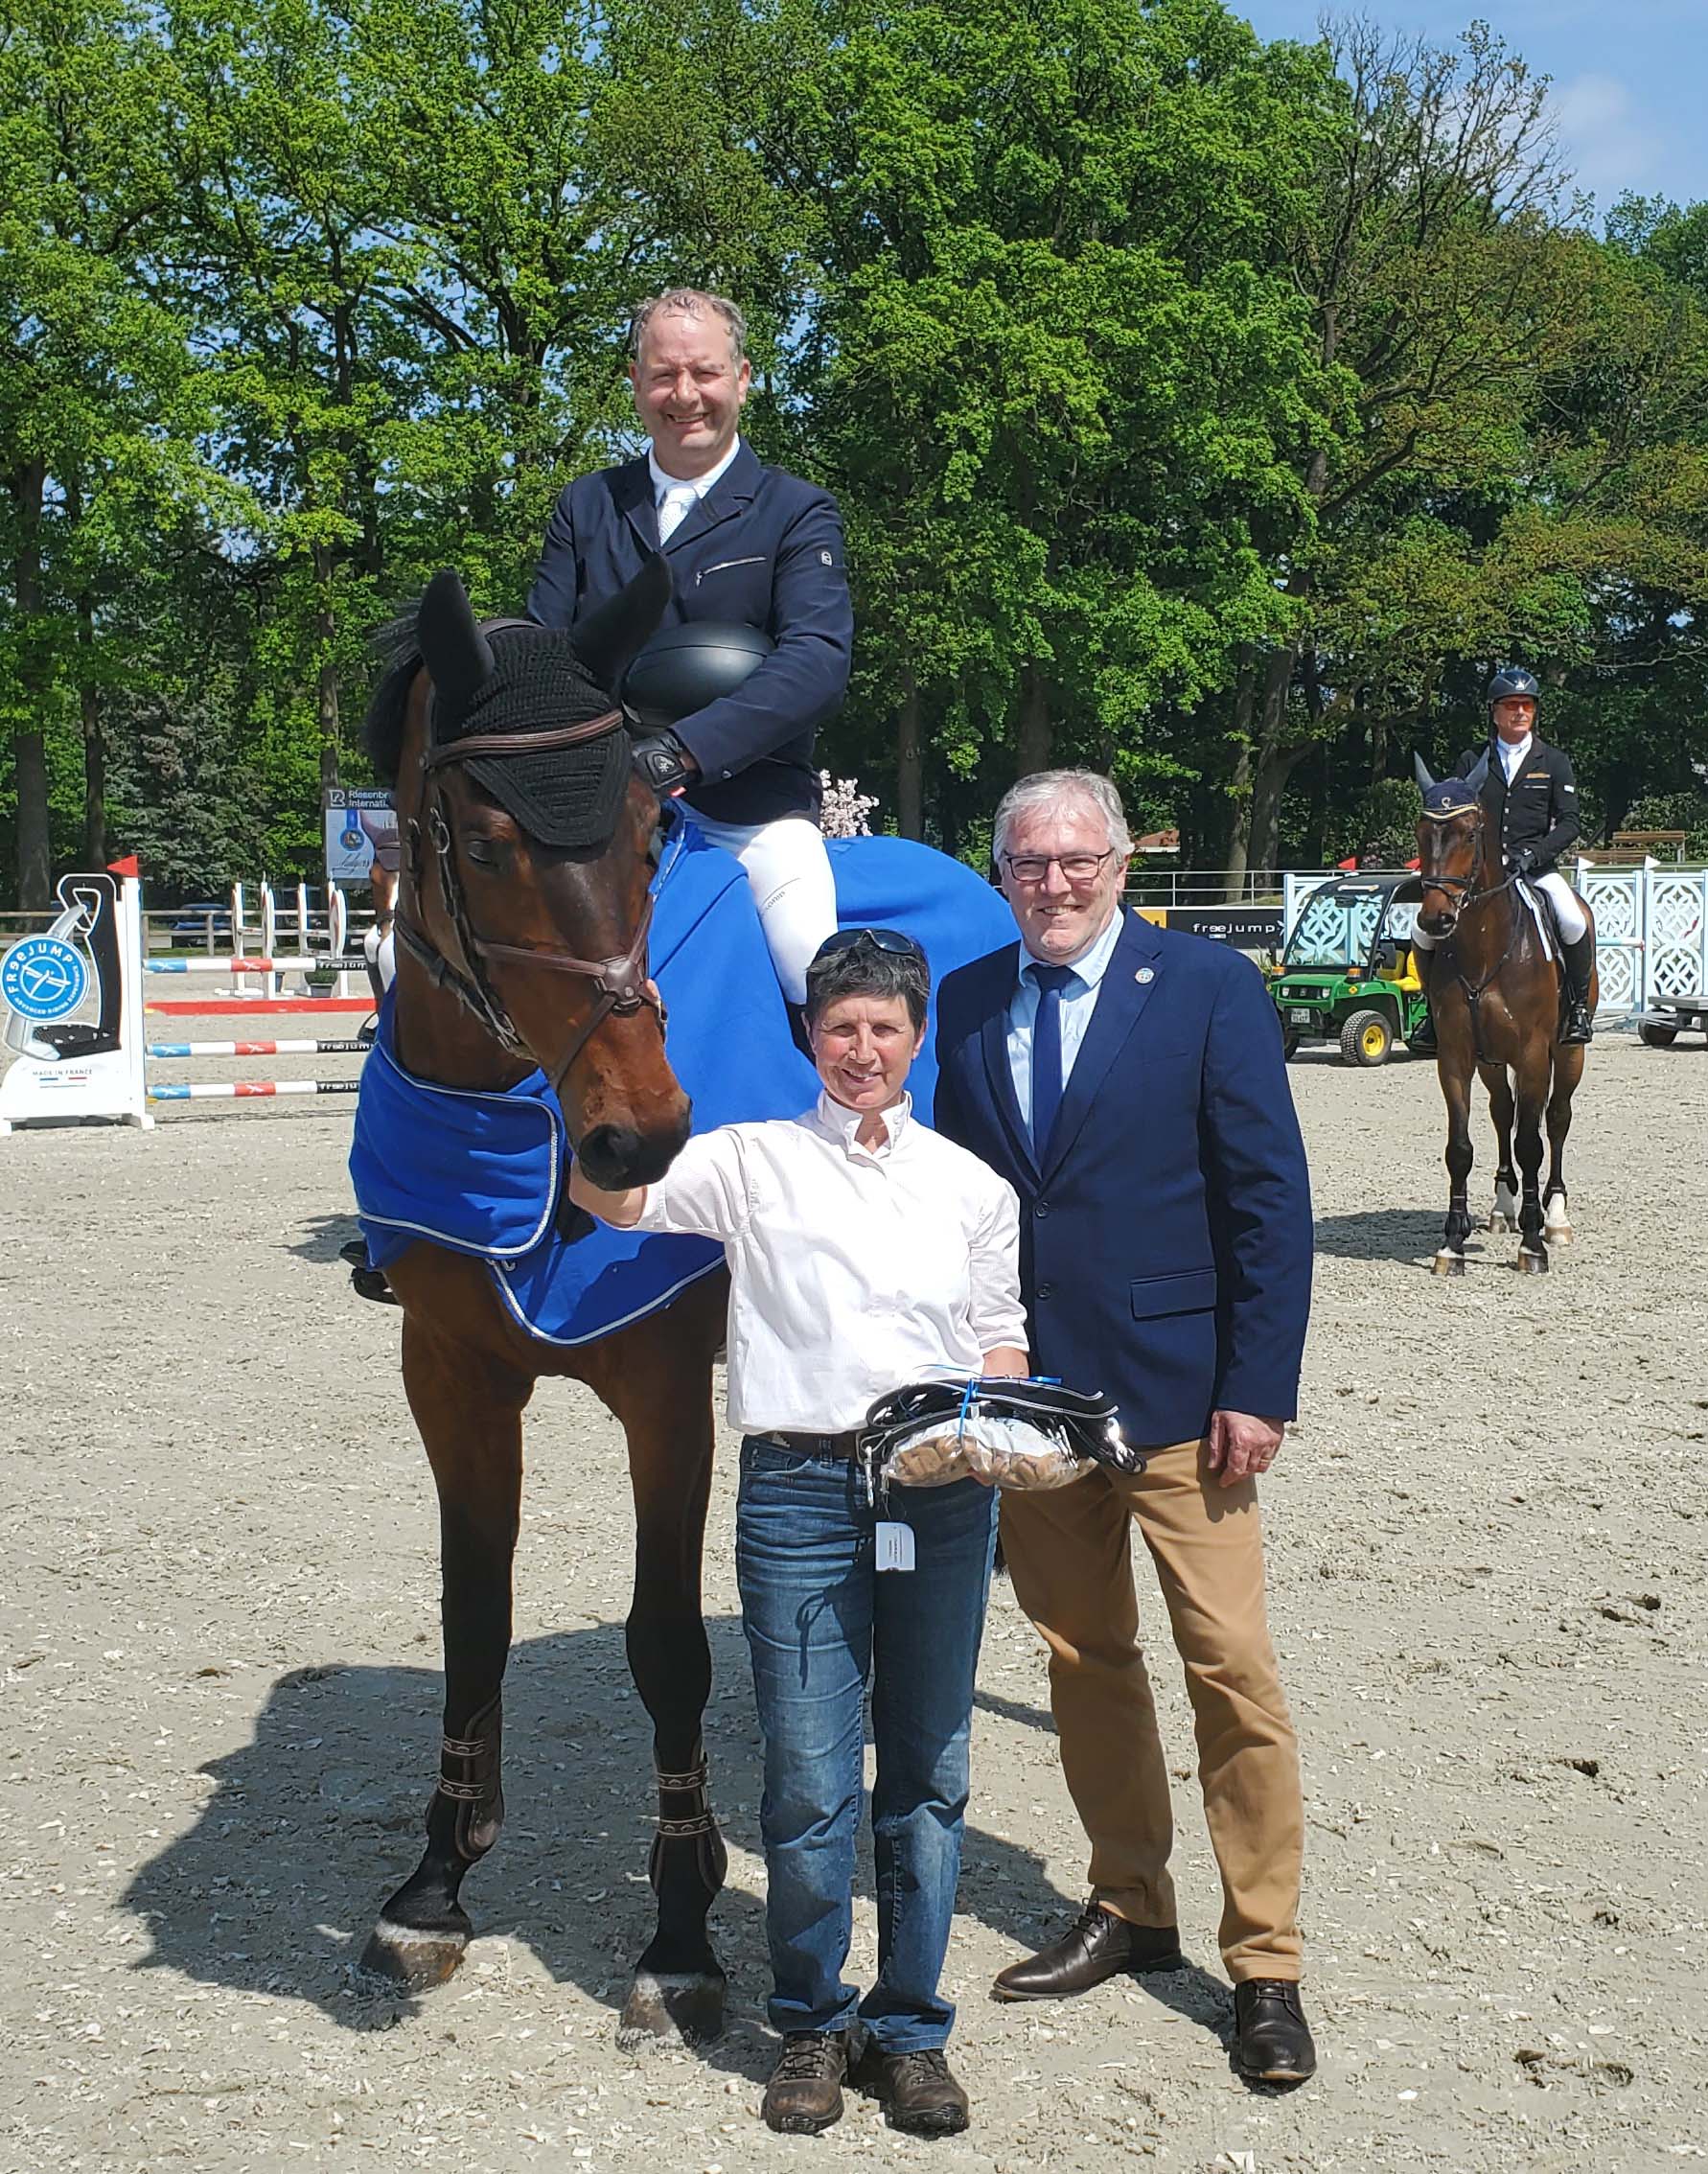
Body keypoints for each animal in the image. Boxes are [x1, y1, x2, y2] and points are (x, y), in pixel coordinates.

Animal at [1413, 757, 1596, 1277]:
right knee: (1501, 1113)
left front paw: (1533, 1244)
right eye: (1421, 833)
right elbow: (1460, 1148)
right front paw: (1452, 1244)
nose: (1435, 919)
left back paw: (1555, 1218)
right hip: (1492, 1063)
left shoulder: (1533, 1056)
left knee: (1556, 1119)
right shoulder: (1455, 1058)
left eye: (1471, 833)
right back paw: (1501, 1208)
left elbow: (1531, 1144)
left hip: (1567, 1055)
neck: (1484, 946)